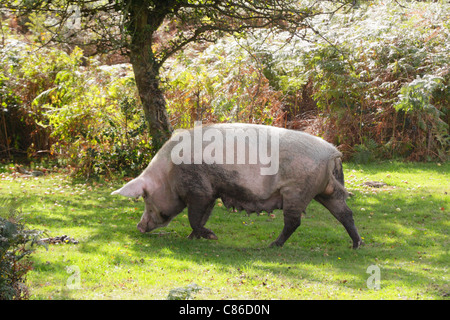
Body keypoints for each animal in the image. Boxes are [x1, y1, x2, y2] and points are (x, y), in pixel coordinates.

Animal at [111, 124, 362, 249]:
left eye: (146, 197)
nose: (139, 227)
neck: (168, 174)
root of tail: (332, 153)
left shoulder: (199, 190)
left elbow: (195, 217)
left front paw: (211, 237)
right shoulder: (211, 191)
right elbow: (202, 217)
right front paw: (192, 239)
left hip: (296, 191)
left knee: (294, 221)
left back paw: (273, 245)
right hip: (325, 190)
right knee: (345, 213)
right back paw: (357, 245)